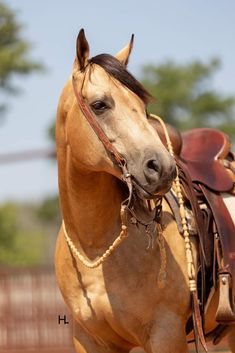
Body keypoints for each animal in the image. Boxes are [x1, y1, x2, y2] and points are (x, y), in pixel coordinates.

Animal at [55, 30, 235, 352]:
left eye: (142, 105)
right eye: (99, 104)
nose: (162, 168)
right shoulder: (88, 339)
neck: (96, 246)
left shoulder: (166, 334)